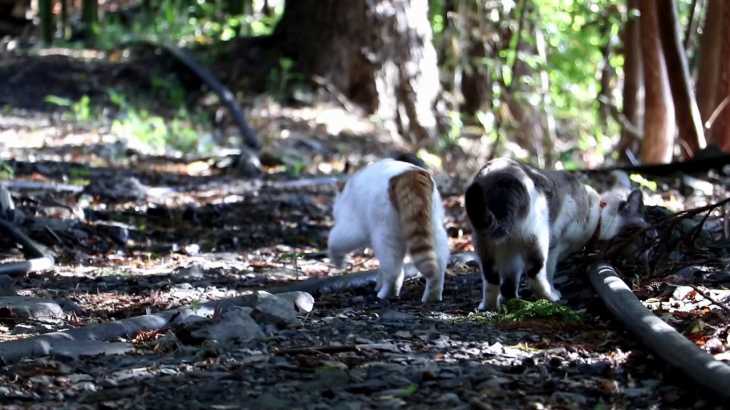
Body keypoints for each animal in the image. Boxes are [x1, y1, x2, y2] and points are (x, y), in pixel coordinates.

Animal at [326, 159, 450, 302]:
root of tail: (409, 174)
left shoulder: (352, 226)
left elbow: (334, 240)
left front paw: (339, 262)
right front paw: (379, 283)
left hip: (385, 234)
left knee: (395, 272)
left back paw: (386, 294)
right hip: (434, 227)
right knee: (438, 267)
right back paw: (432, 296)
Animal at [464, 159, 644, 310]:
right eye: (630, 233)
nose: (646, 232)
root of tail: (500, 177)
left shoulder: (511, 253)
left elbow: (509, 281)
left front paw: (510, 300)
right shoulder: (555, 247)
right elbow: (549, 272)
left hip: (485, 243)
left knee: (490, 277)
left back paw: (490, 307)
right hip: (538, 238)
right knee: (535, 273)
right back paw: (551, 297)